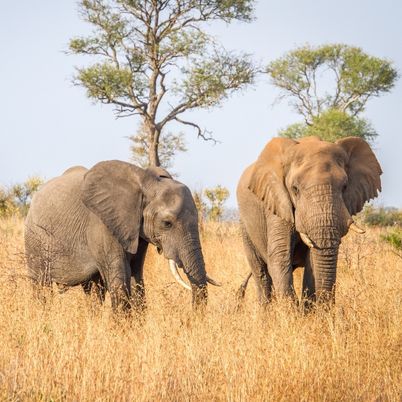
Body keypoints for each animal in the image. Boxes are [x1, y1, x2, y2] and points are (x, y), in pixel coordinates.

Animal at [25, 160, 220, 310]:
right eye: (167, 223)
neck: (146, 183)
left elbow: (136, 277)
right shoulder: (102, 225)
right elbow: (119, 280)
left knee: (93, 290)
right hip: (34, 238)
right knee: (41, 284)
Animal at [237, 137, 382, 306]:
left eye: (345, 187)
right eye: (295, 189)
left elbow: (312, 262)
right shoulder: (277, 203)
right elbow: (280, 255)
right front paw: (291, 311)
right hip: (245, 225)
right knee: (261, 274)